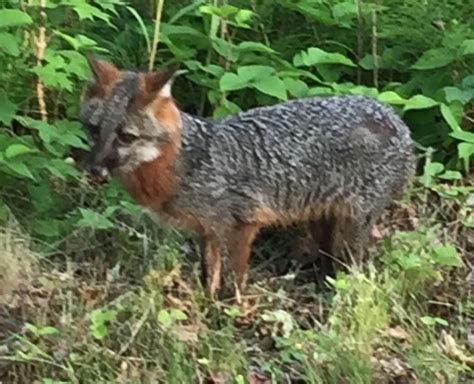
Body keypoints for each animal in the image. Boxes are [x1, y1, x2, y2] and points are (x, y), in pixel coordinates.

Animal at [78, 57, 414, 296]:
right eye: (94, 130)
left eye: (126, 137)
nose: (93, 168)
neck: (188, 161)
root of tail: (396, 118)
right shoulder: (208, 232)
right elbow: (209, 275)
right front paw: (208, 305)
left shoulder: (244, 224)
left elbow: (234, 279)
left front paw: (230, 314)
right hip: (322, 222)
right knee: (330, 265)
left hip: (350, 229)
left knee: (355, 273)